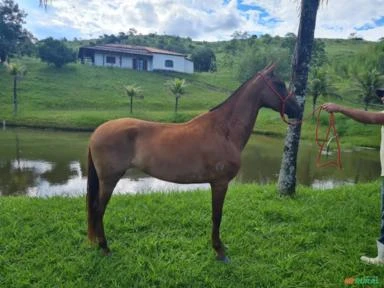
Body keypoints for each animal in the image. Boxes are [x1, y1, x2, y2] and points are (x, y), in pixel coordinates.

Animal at [87, 63, 300, 260]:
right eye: (280, 84)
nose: (298, 110)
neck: (224, 130)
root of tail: (97, 131)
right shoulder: (220, 183)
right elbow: (217, 216)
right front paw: (219, 251)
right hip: (109, 179)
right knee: (98, 210)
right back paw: (105, 248)